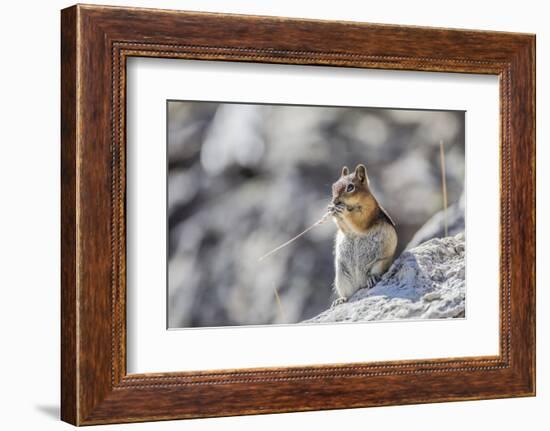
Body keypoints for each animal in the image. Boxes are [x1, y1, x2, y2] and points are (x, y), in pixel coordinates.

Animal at [330, 165, 398, 308]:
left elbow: (358, 222)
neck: (351, 206)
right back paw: (340, 300)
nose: (334, 201)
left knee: (374, 274)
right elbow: (342, 227)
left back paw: (371, 279)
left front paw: (343, 211)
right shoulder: (344, 228)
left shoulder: (368, 212)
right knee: (348, 294)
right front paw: (332, 210)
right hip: (342, 277)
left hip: (379, 264)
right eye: (333, 186)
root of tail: (360, 285)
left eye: (350, 187)